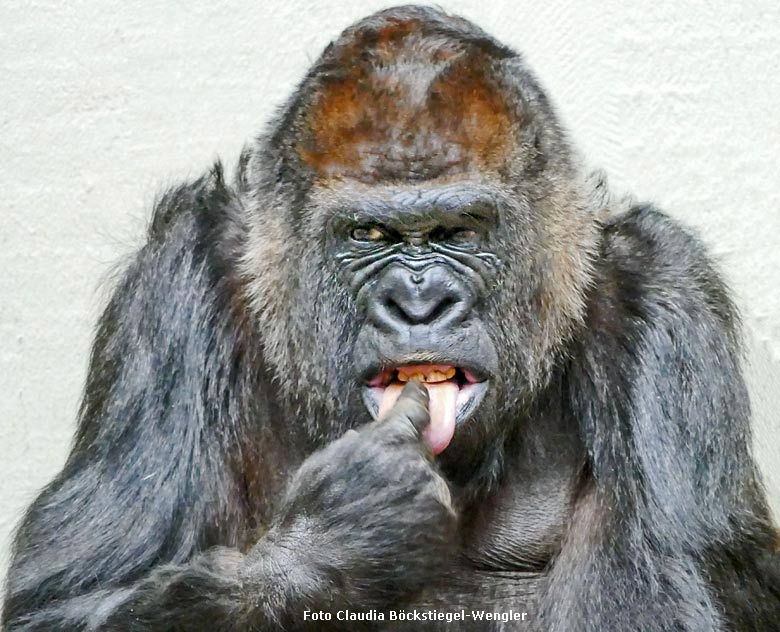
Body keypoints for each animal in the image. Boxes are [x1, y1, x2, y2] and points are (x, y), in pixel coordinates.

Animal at [1, 6, 780, 632]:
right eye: (368, 235)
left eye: (459, 232)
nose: (418, 304)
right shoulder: (171, 286)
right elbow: (56, 605)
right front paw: (336, 538)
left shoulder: (664, 293)